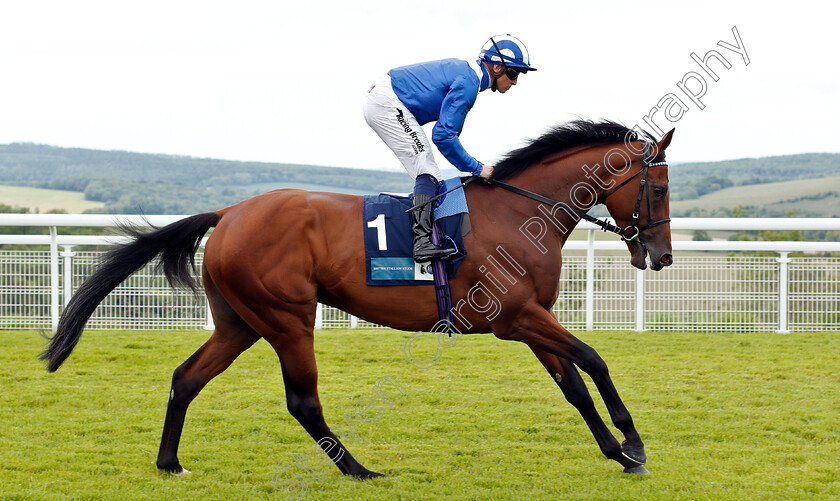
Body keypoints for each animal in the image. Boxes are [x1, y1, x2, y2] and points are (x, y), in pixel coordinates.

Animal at [42, 120, 676, 476]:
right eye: (661, 188)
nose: (662, 256)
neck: (521, 214)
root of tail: (230, 212)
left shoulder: (530, 317)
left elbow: (574, 386)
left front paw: (618, 454)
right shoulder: (516, 316)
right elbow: (594, 360)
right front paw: (635, 443)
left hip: (239, 323)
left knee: (186, 378)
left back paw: (170, 463)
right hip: (287, 317)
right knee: (302, 401)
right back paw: (359, 470)